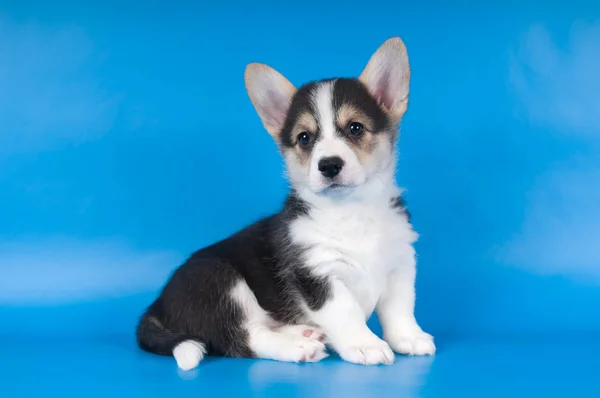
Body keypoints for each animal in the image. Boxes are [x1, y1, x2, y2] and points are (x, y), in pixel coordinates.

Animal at [137, 37, 436, 370]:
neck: (352, 211)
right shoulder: (317, 274)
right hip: (220, 281)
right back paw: (297, 346)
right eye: (304, 138)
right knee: (244, 338)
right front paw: (365, 344)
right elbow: (346, 311)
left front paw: (409, 337)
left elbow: (400, 308)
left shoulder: (400, 264)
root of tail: (156, 307)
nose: (329, 165)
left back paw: (302, 332)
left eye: (356, 128)